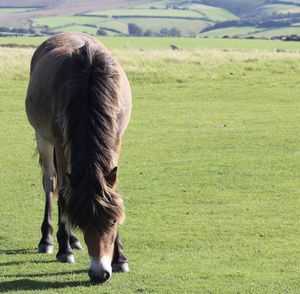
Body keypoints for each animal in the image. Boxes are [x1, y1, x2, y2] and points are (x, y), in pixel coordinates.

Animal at [26, 32, 132, 282]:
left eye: (112, 221)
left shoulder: (116, 141)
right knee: (50, 184)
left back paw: (73, 241)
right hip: (44, 139)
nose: (100, 274)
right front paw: (64, 250)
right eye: (83, 222)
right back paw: (48, 240)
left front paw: (120, 258)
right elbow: (64, 195)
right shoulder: (61, 143)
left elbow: (112, 193)